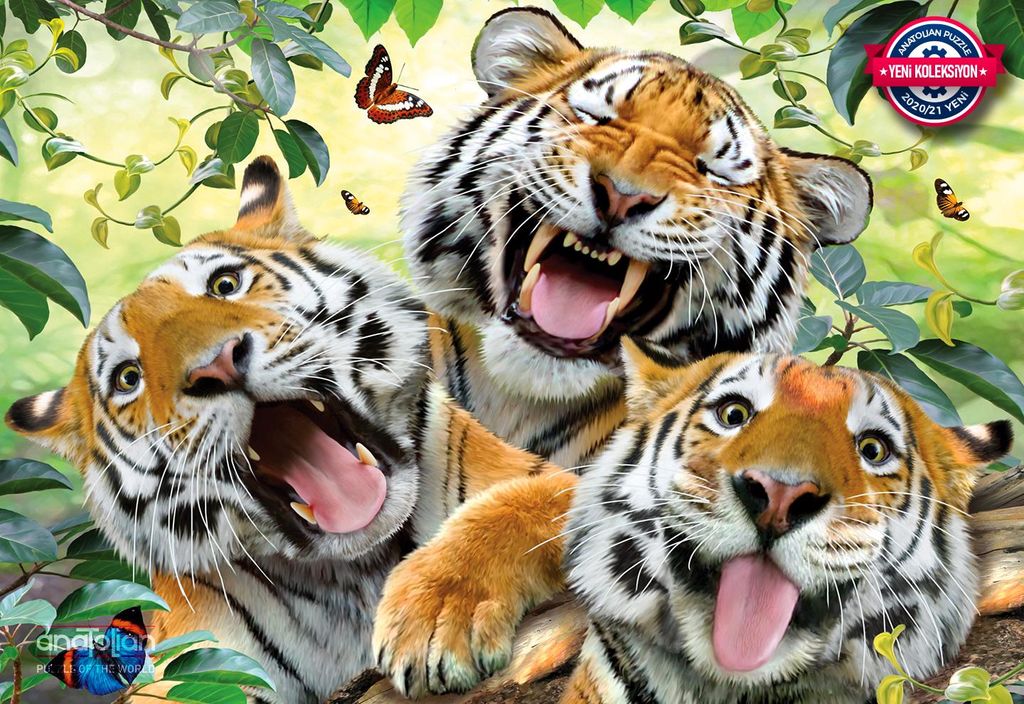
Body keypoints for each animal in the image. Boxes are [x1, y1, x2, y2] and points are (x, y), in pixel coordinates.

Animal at [4, 156, 559, 704]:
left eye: (225, 284)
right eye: (128, 378)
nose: (215, 365)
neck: (361, 570)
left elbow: (522, 506)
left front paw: (436, 615)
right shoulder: (201, 660)